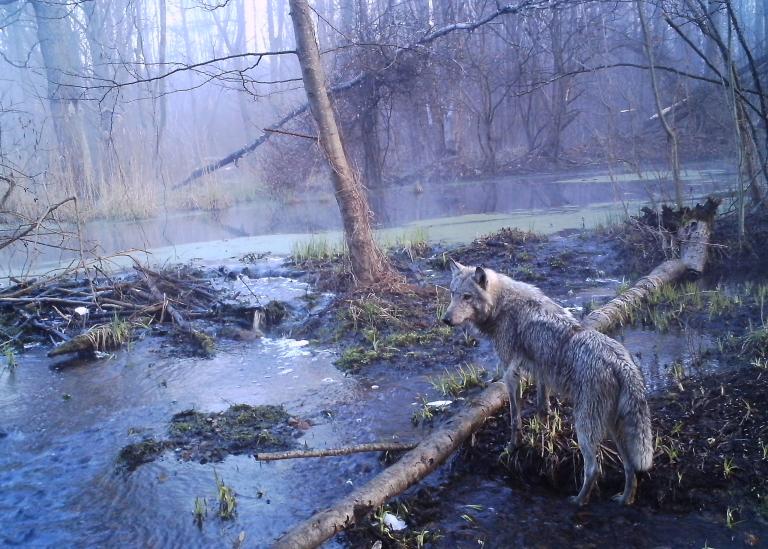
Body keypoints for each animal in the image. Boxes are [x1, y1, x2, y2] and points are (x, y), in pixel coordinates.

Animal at [444, 260, 656, 504]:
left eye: (467, 297)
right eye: (453, 294)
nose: (445, 320)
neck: (502, 304)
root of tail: (621, 363)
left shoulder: (510, 374)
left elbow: (515, 419)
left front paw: (513, 447)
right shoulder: (540, 370)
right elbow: (542, 406)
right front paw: (543, 434)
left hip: (585, 428)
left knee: (594, 469)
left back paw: (578, 502)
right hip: (613, 429)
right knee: (630, 467)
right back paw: (624, 500)